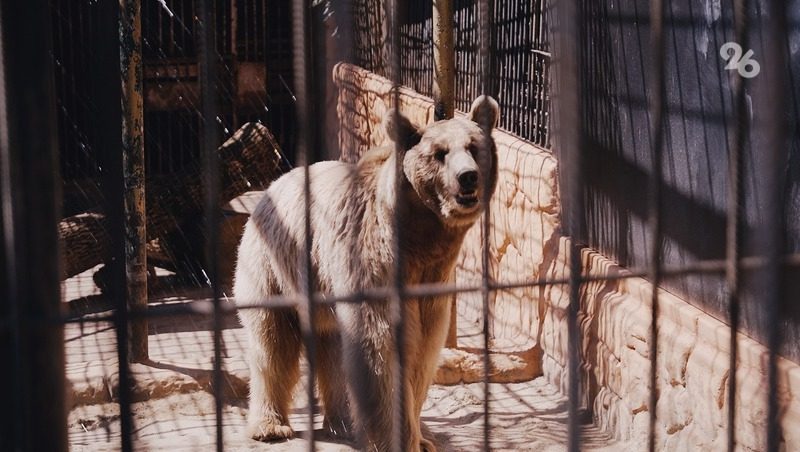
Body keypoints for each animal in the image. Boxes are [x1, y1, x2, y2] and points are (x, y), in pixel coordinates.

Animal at [231, 95, 500, 452]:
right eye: (440, 153)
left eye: (474, 147)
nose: (468, 177)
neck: (421, 239)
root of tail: (274, 183)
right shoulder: (374, 263)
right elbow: (380, 349)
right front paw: (400, 437)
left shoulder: (433, 282)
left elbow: (423, 353)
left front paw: (422, 438)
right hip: (273, 267)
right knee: (272, 345)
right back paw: (270, 426)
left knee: (331, 350)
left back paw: (341, 422)